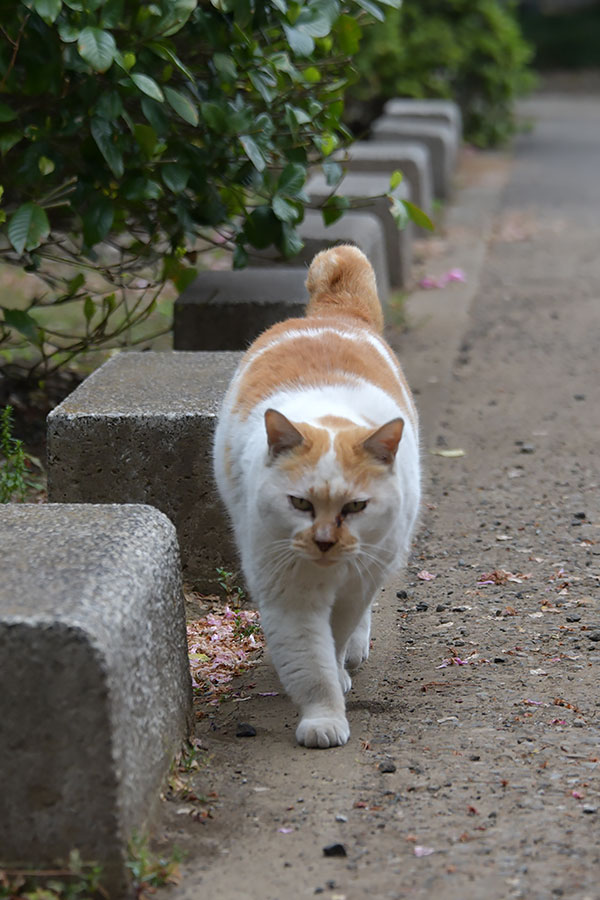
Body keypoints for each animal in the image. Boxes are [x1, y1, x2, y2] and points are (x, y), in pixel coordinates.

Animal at [213, 244, 420, 744]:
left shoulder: (355, 585)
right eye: (300, 504)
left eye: (356, 507)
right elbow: (311, 662)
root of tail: (332, 314)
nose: (325, 541)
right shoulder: (288, 593)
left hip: (379, 560)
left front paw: (339, 676)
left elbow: (336, 636)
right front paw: (324, 717)